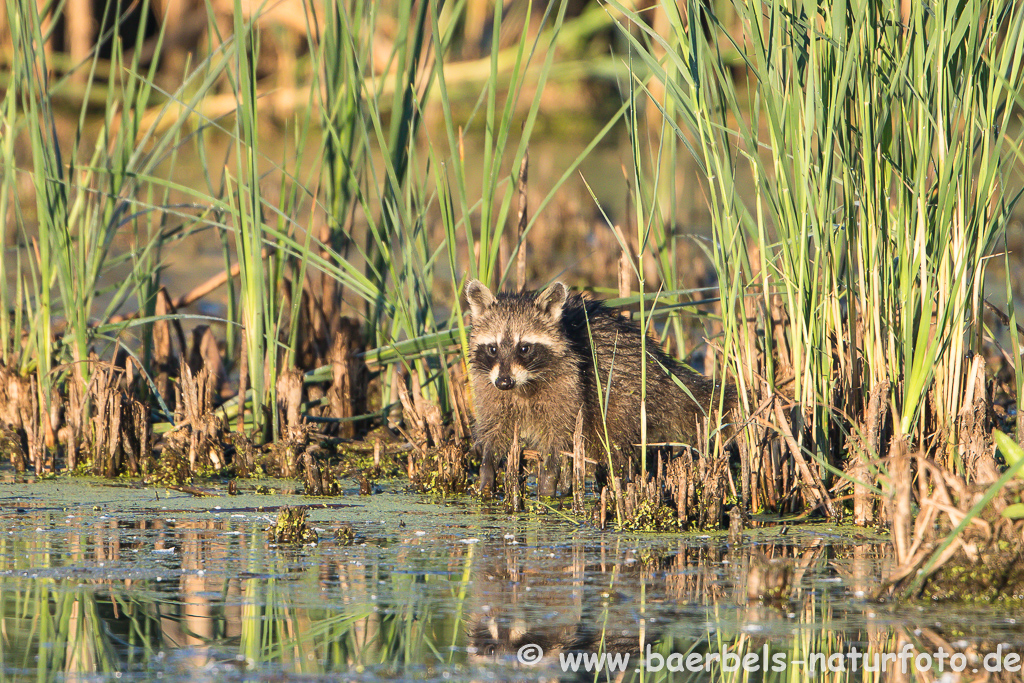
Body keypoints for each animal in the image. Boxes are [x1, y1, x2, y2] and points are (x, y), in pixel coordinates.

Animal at [468, 278, 733, 497]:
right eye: (493, 348)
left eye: (524, 348)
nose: (504, 382)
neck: (523, 385)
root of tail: (660, 365)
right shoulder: (488, 387)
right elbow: (493, 430)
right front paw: (487, 473)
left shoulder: (568, 385)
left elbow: (558, 440)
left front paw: (547, 488)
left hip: (623, 392)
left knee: (614, 443)